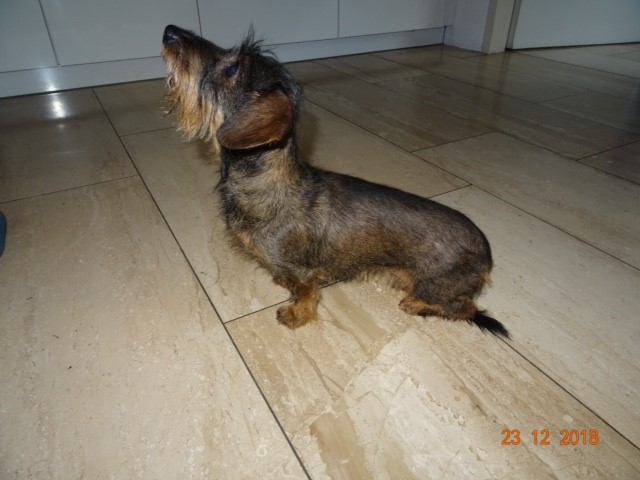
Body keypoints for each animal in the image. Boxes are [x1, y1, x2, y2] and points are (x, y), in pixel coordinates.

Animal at [161, 25, 509, 338]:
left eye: (233, 68)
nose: (169, 31)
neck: (268, 184)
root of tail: (487, 254)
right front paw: (281, 283)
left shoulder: (305, 274)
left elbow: (305, 294)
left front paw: (295, 315)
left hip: (434, 285)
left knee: (464, 308)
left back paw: (416, 304)